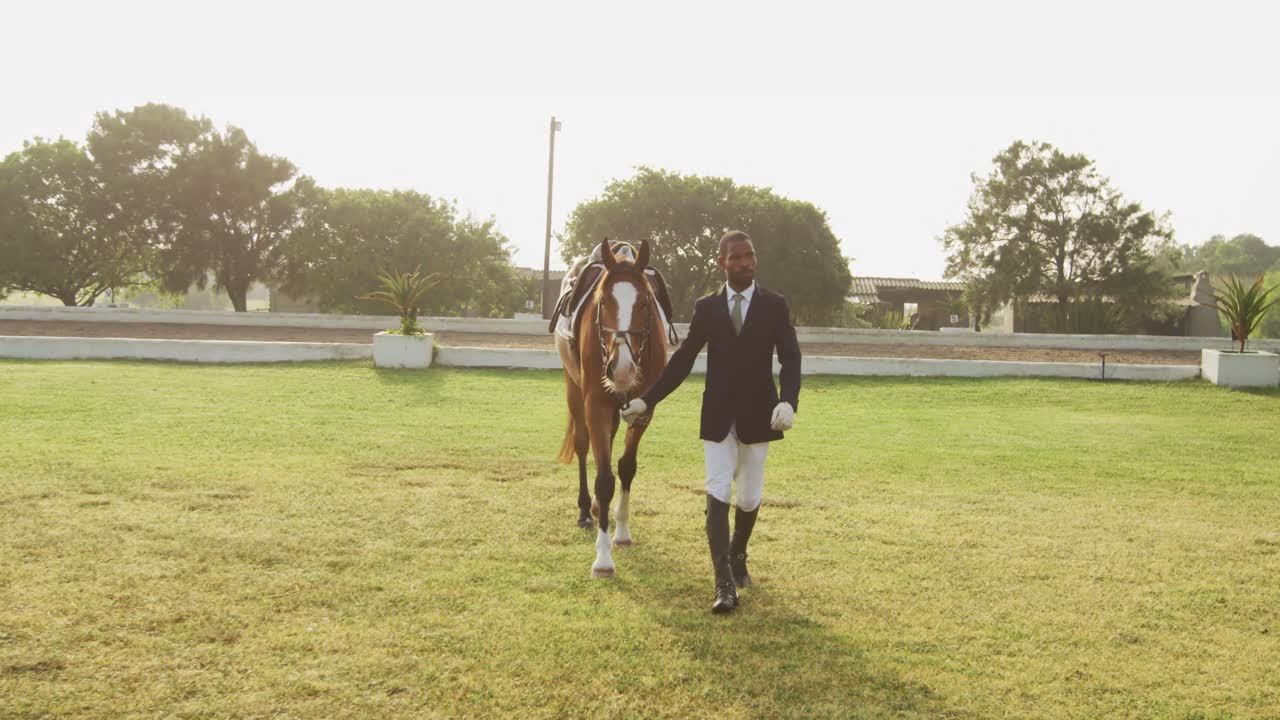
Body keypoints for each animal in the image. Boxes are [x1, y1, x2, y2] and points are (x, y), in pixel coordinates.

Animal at [555, 238, 668, 578]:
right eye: (603, 301)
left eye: (645, 302)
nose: (622, 369)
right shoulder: (596, 404)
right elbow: (604, 480)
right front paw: (603, 559)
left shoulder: (644, 409)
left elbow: (626, 467)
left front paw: (622, 532)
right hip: (573, 385)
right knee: (582, 444)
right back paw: (585, 510)